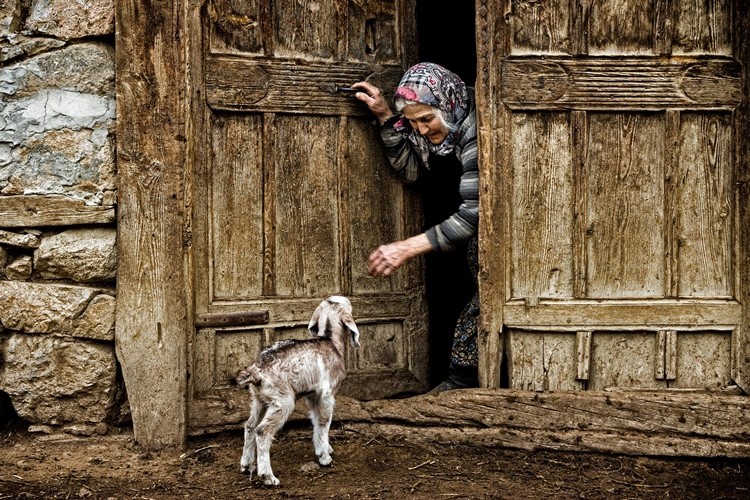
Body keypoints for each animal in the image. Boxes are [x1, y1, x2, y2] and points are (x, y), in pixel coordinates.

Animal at [238, 294, 362, 486]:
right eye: (346, 303)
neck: (330, 341)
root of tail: (256, 371)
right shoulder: (327, 394)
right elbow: (324, 422)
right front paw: (324, 457)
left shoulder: (312, 394)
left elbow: (315, 420)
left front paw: (324, 448)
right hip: (283, 400)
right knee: (262, 431)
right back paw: (268, 476)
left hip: (260, 399)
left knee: (250, 425)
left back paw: (246, 464)